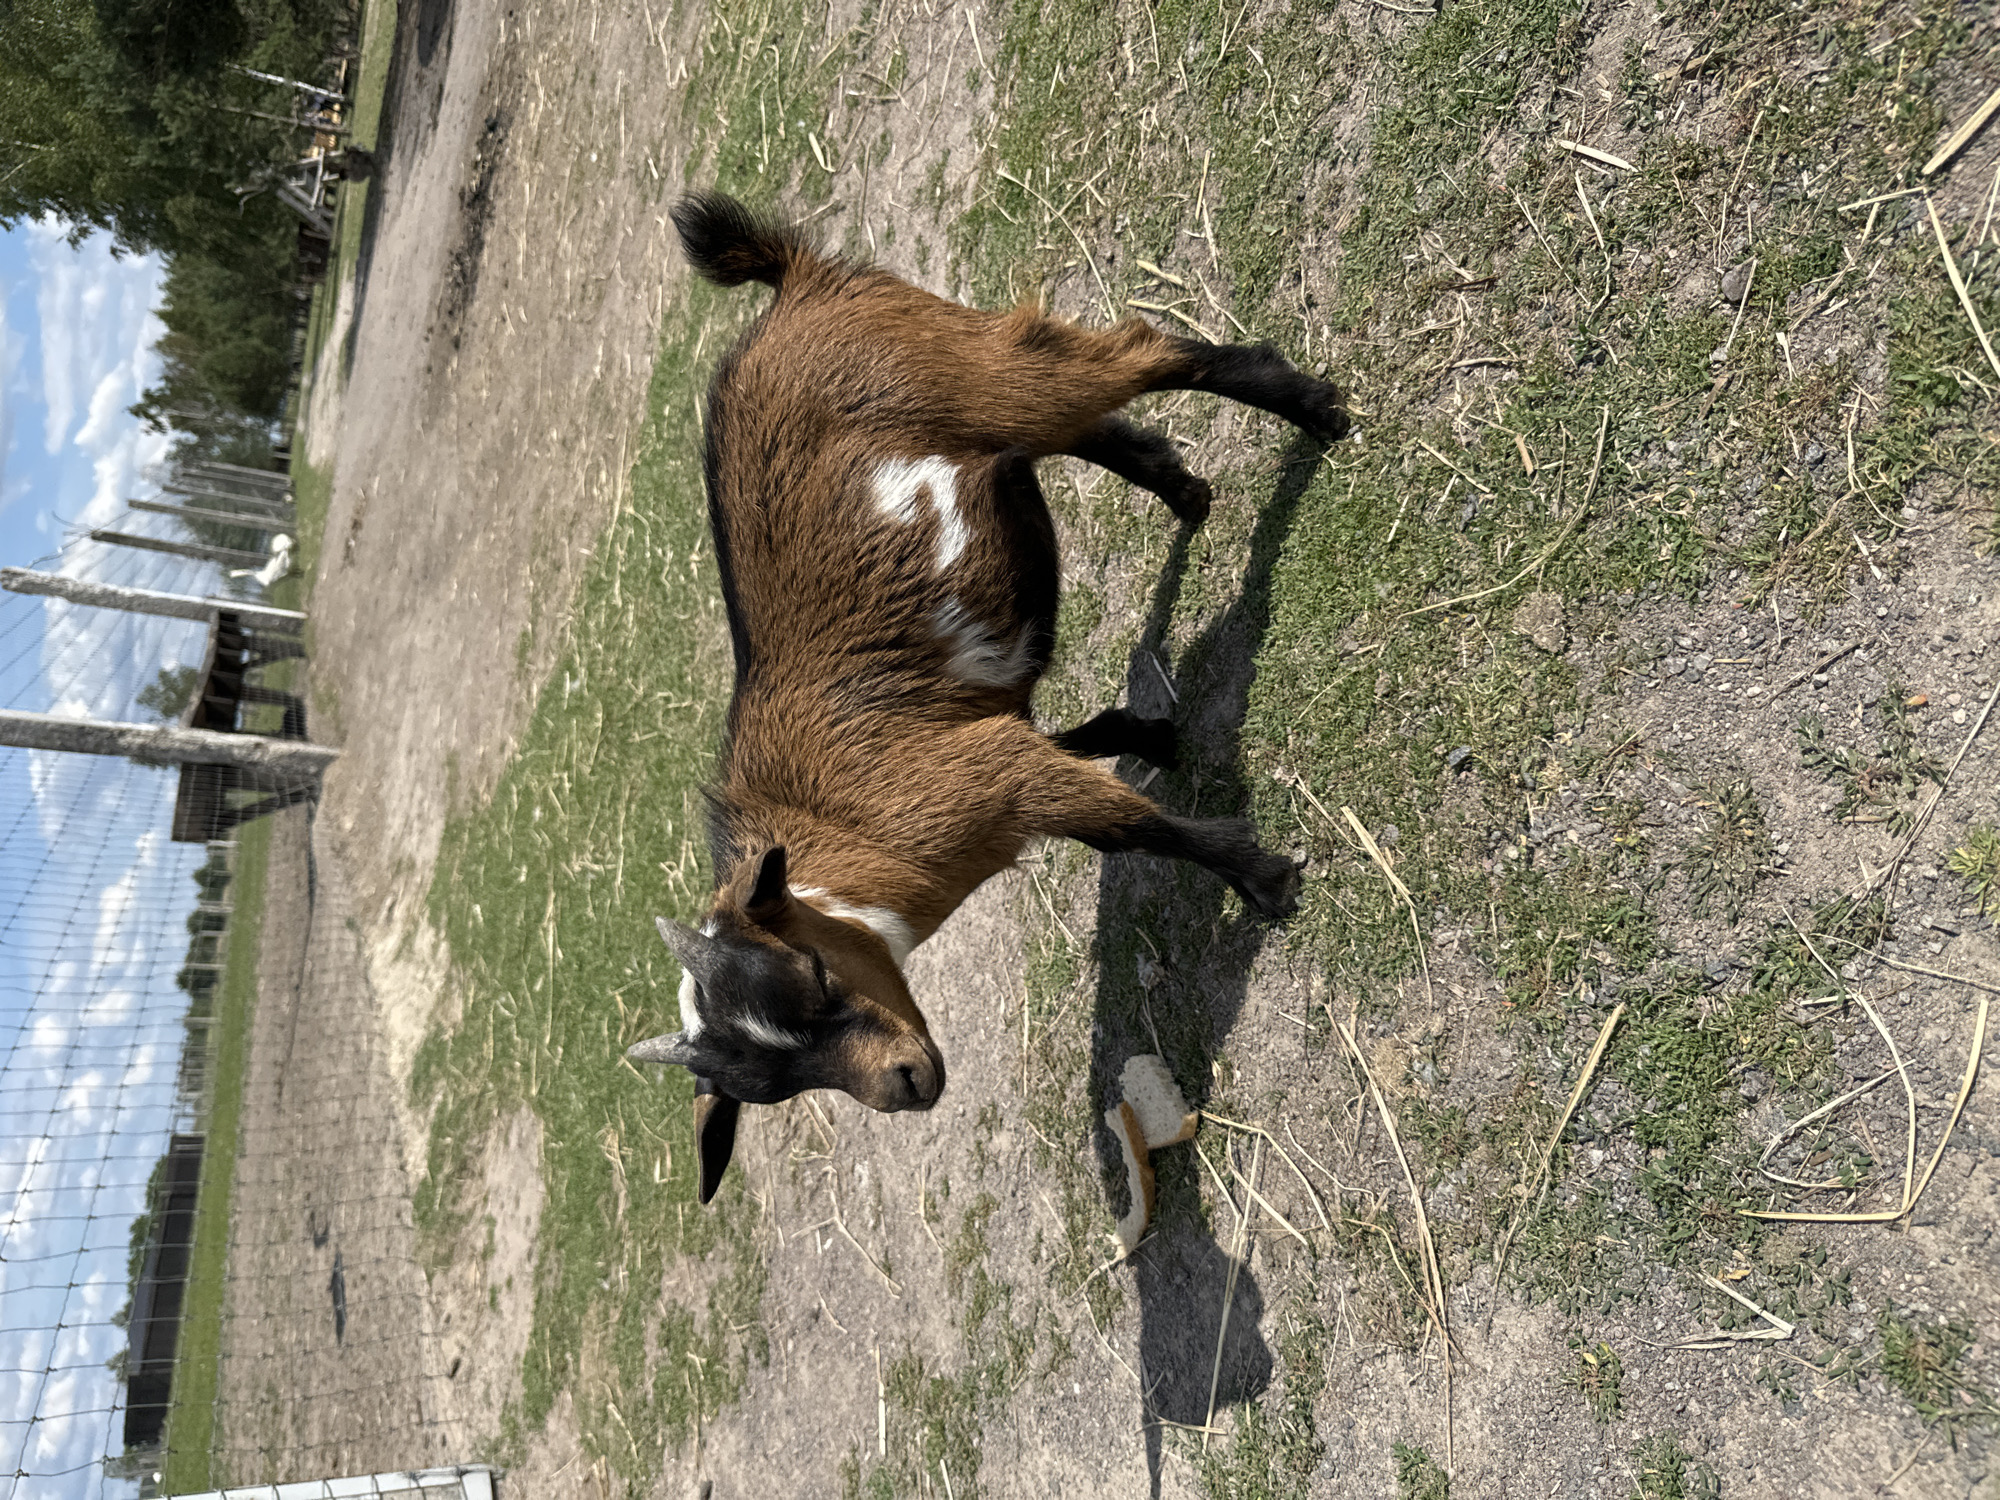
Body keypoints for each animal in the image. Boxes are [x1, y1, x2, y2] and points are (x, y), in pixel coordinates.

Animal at [628, 192, 1346, 1203]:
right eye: (771, 1086)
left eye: (814, 978)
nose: (905, 1083)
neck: (841, 843)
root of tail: (795, 285)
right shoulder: (989, 737)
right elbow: (1081, 747)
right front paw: (1154, 739)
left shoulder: (985, 774)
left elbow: (1128, 827)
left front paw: (1264, 879)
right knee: (1081, 426)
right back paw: (1188, 492)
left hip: (975, 368)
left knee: (1137, 356)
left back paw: (1312, 408)